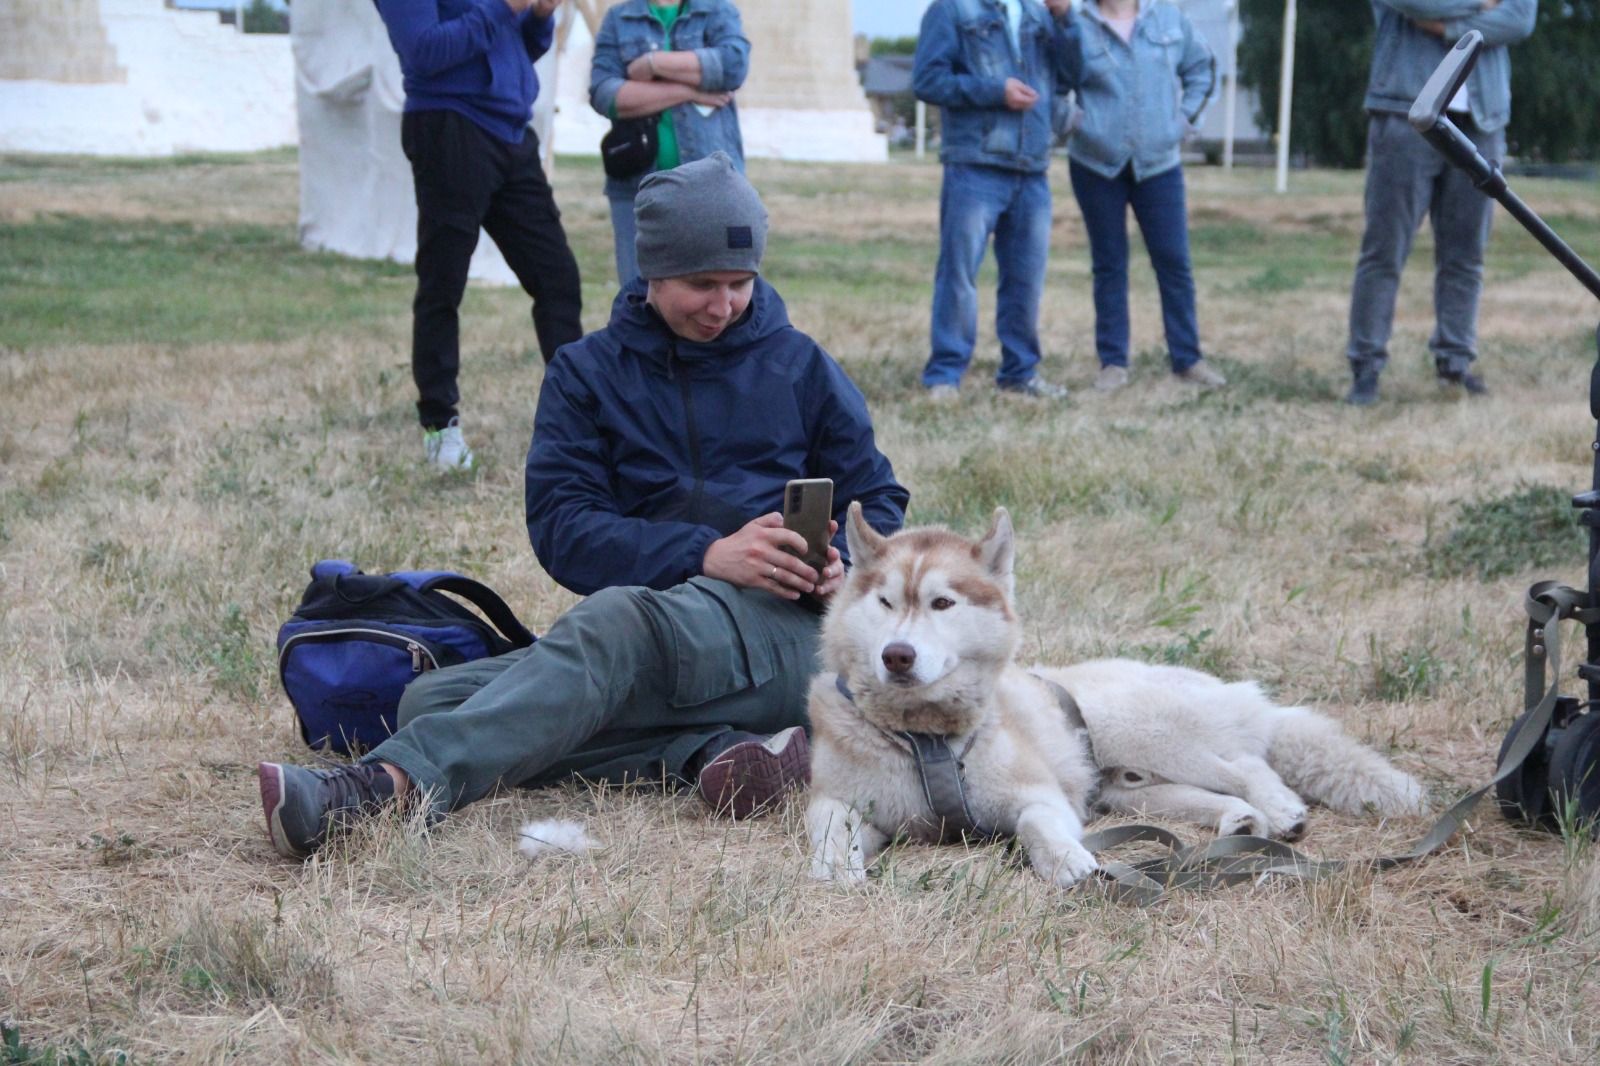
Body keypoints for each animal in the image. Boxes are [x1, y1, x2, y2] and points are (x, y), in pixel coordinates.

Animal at [812, 502, 1427, 883]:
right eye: (886, 602)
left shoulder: (1040, 797)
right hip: (1129, 787)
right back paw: (1239, 822)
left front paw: (1066, 860)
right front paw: (834, 865)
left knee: (1248, 765)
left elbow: (1036, 824)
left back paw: (1280, 809)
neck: (925, 737)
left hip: (1147, 734)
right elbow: (827, 822)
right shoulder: (841, 800)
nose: (896, 655)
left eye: (942, 603)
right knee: (1206, 788)